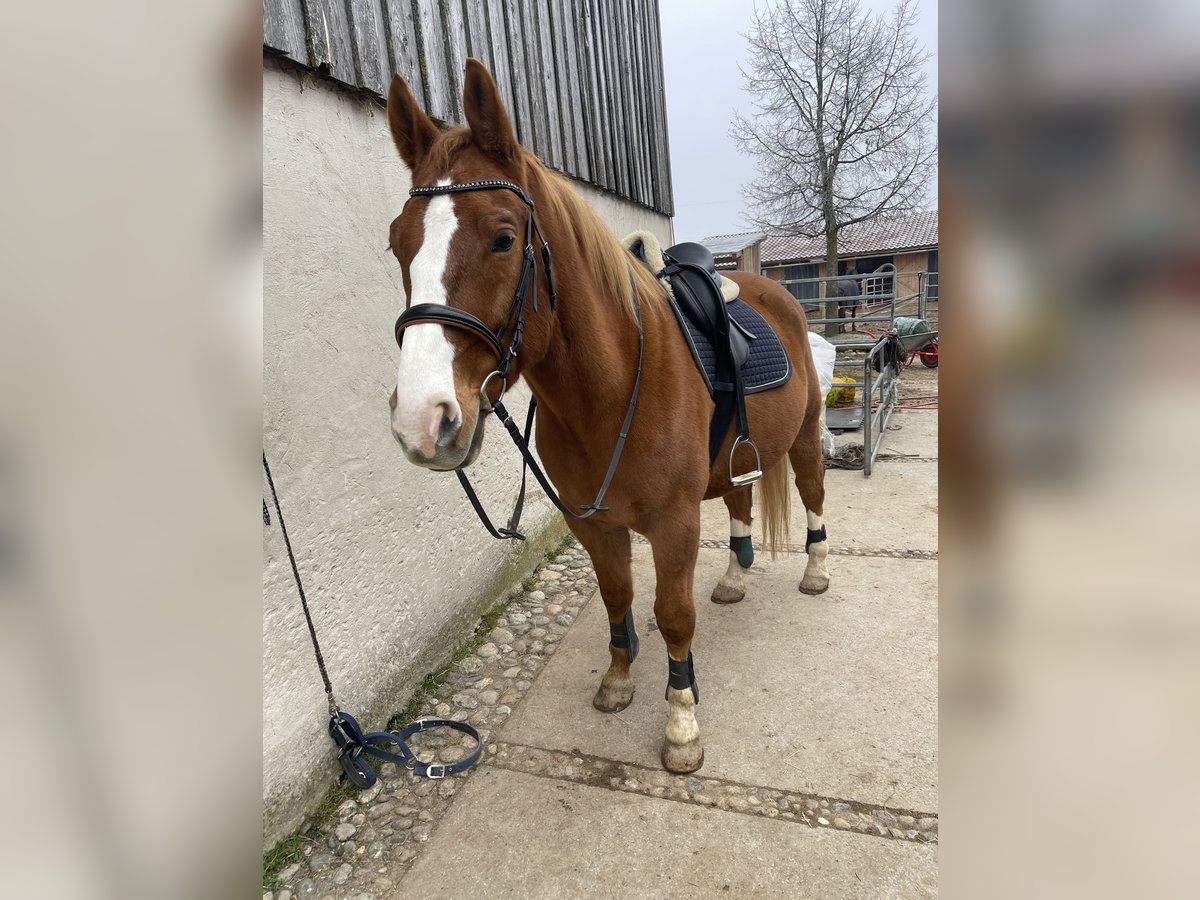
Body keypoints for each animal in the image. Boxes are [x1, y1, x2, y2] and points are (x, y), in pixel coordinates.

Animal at [384, 58, 825, 777]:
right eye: (398, 243)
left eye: (504, 238)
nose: (423, 420)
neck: (611, 393)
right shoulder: (591, 524)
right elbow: (618, 597)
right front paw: (619, 680)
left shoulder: (674, 526)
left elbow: (672, 615)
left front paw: (681, 724)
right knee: (739, 505)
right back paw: (734, 579)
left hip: (807, 437)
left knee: (813, 493)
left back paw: (816, 571)